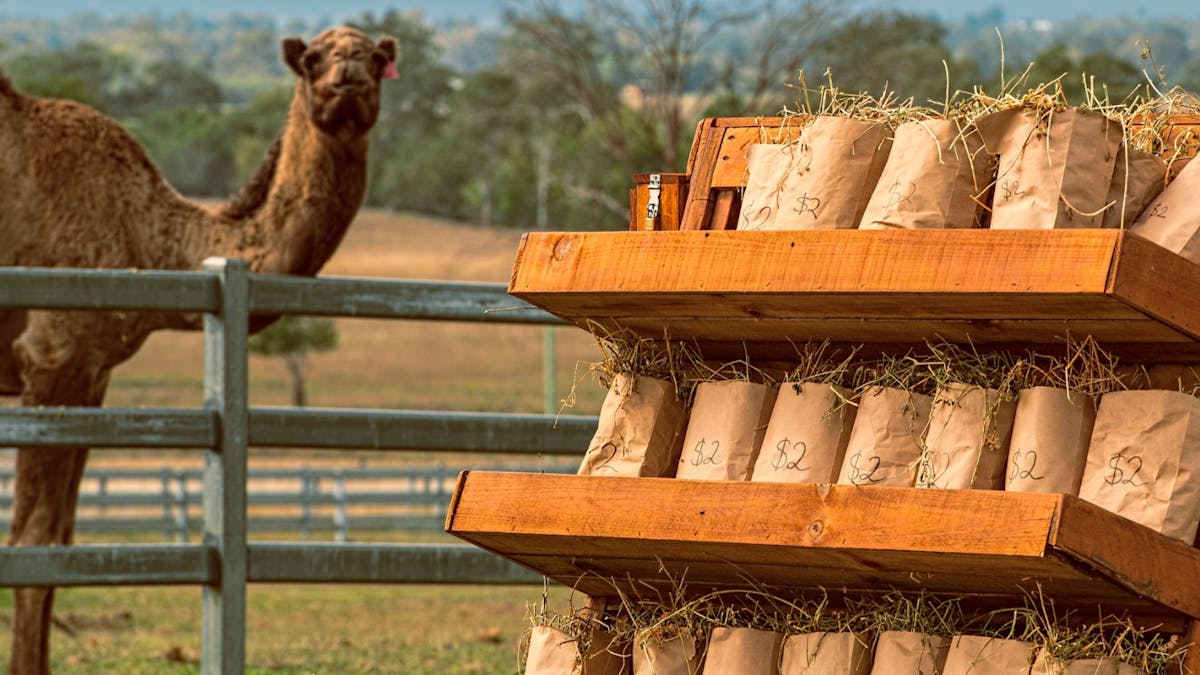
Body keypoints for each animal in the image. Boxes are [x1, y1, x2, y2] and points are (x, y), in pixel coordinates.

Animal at [0, 26, 397, 673]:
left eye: (376, 57)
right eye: (314, 58)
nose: (348, 75)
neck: (151, 236)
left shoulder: (92, 373)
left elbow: (62, 538)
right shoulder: (53, 356)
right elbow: (33, 544)